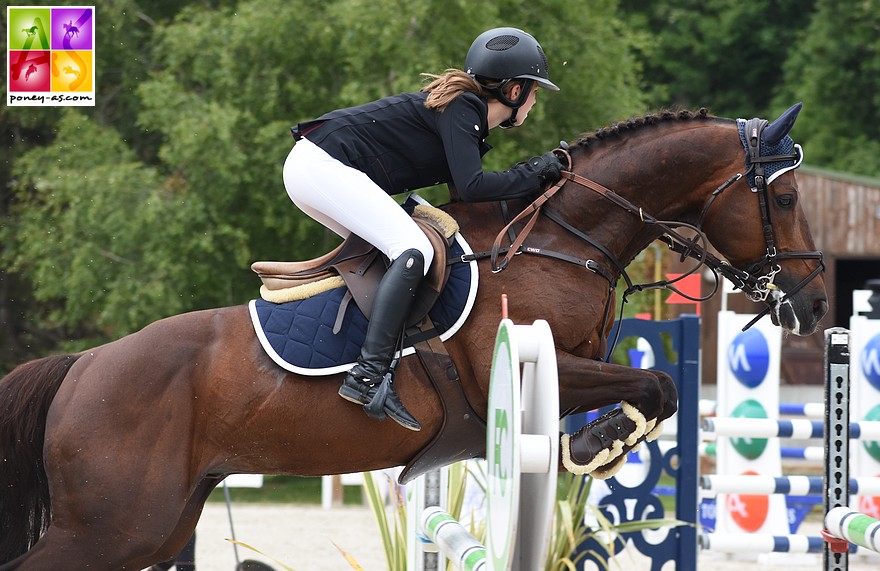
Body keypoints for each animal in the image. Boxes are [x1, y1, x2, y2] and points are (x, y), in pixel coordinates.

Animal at [0, 105, 824, 568]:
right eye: (784, 198)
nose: (815, 303)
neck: (561, 239)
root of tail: (81, 368)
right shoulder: (523, 369)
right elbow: (657, 383)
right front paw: (599, 443)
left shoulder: (583, 361)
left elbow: (657, 389)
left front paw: (598, 442)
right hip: (110, 526)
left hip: (154, 527)